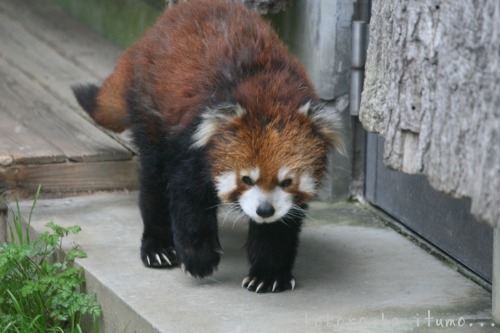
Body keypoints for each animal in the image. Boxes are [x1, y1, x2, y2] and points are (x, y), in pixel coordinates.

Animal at [72, 0, 344, 292]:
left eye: (287, 181)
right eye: (246, 179)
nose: (264, 210)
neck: (267, 93)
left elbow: (281, 226)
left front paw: (269, 274)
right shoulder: (192, 140)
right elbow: (188, 199)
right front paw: (198, 260)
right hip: (151, 111)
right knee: (154, 180)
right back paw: (158, 246)